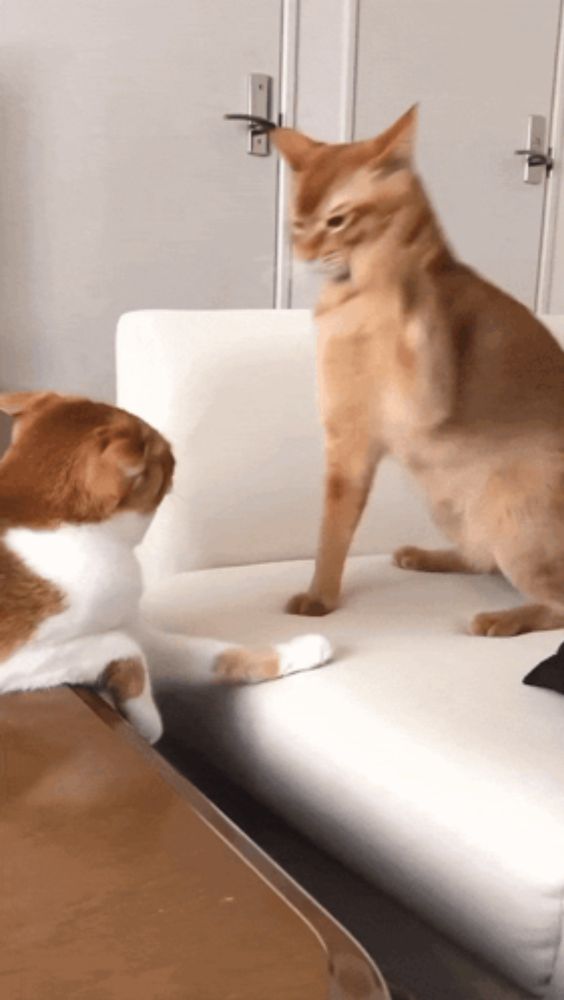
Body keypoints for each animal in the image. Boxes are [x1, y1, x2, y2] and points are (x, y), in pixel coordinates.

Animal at [0, 390, 332, 744]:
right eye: (165, 454)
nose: (176, 456)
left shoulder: (141, 631)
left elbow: (219, 653)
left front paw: (304, 649)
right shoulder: (19, 660)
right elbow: (123, 647)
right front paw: (144, 721)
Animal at [274, 105, 564, 636]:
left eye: (337, 220)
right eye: (296, 225)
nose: (302, 256)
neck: (351, 298)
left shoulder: (418, 411)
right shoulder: (347, 446)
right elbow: (332, 529)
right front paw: (321, 595)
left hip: (512, 517)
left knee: (557, 602)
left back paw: (501, 619)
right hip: (446, 501)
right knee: (481, 559)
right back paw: (427, 557)